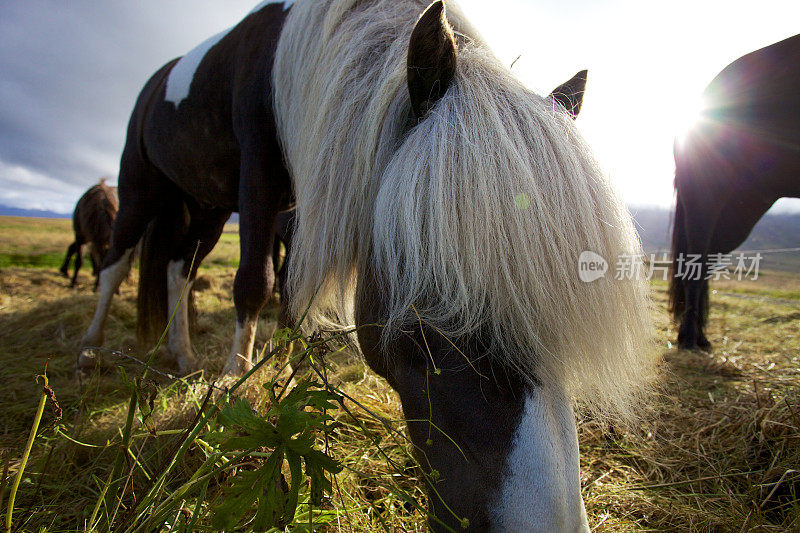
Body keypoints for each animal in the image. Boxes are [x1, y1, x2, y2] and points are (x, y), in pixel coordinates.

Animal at [81, 1, 656, 528]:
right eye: (434, 309)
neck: (289, 63)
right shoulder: (258, 180)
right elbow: (256, 283)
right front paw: (235, 385)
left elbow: (294, 294)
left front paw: (284, 378)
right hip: (141, 185)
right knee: (115, 263)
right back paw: (90, 351)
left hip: (205, 203)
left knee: (180, 268)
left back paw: (180, 352)